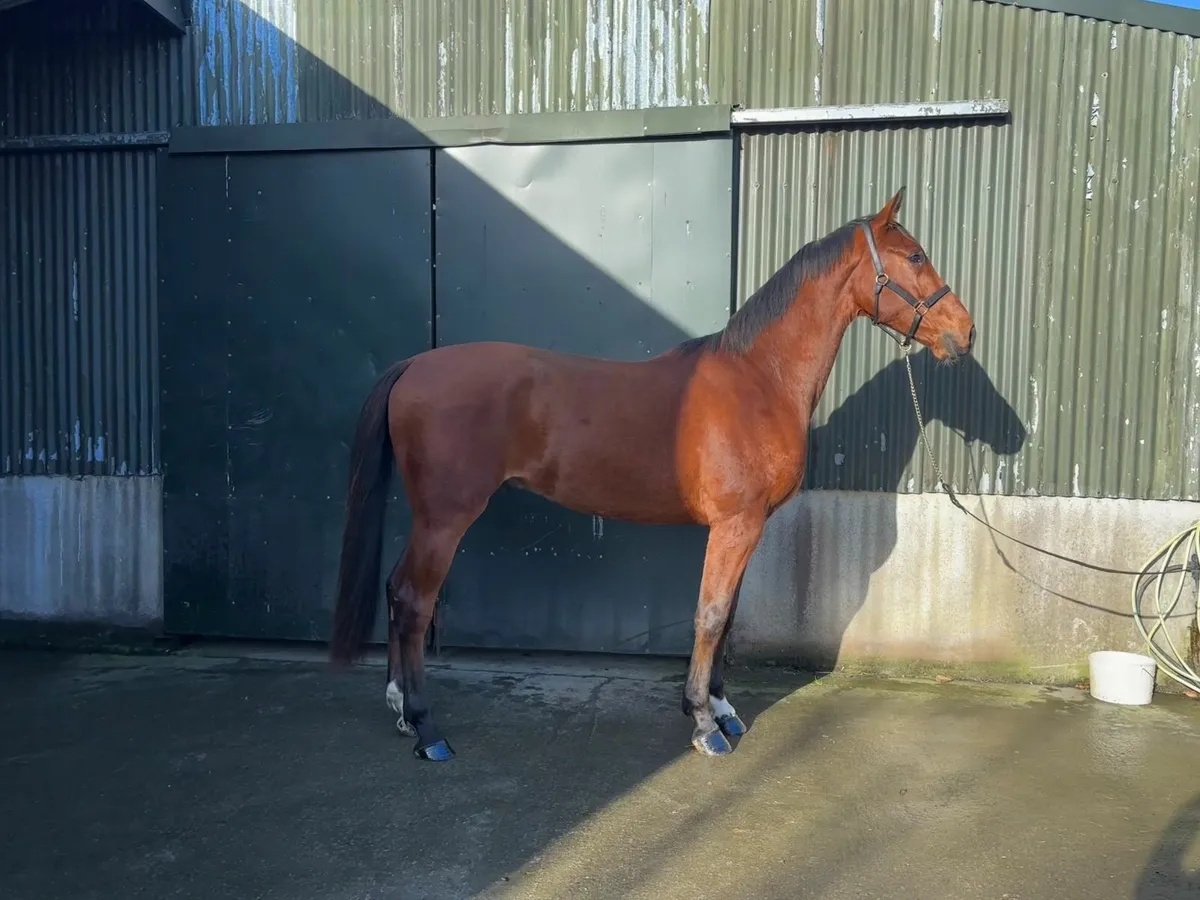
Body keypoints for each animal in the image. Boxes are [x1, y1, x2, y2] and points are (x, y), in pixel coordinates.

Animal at [328, 187, 977, 761]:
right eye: (915, 256)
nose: (965, 332)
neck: (759, 380)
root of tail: (415, 364)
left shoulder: (748, 528)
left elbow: (727, 615)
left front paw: (721, 710)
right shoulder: (734, 525)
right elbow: (710, 617)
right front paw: (704, 725)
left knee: (396, 589)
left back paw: (398, 708)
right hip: (446, 517)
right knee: (415, 600)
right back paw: (426, 728)